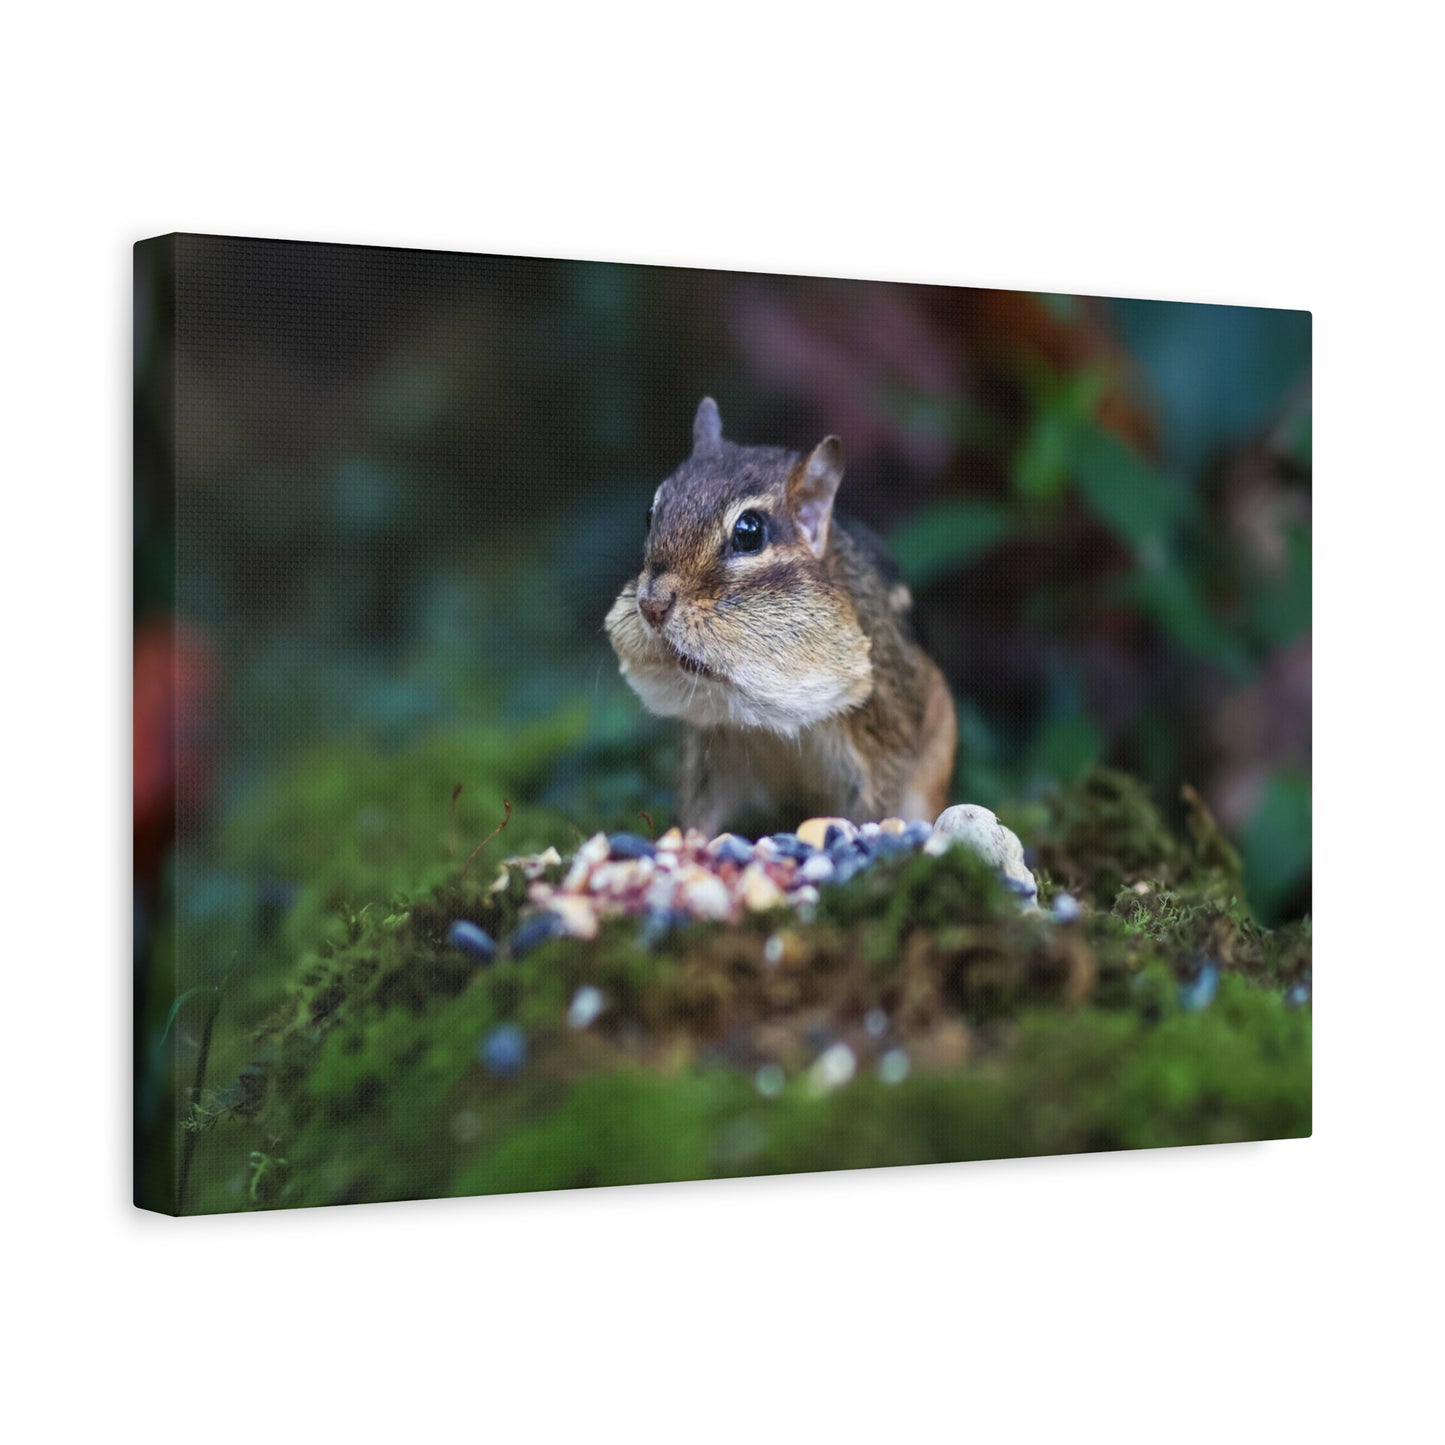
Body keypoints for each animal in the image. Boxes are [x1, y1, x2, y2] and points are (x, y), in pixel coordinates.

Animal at [605, 398, 957, 838]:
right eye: (650, 513)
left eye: (749, 532)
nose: (652, 605)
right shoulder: (711, 749)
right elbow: (698, 810)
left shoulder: (883, 741)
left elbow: (877, 805)